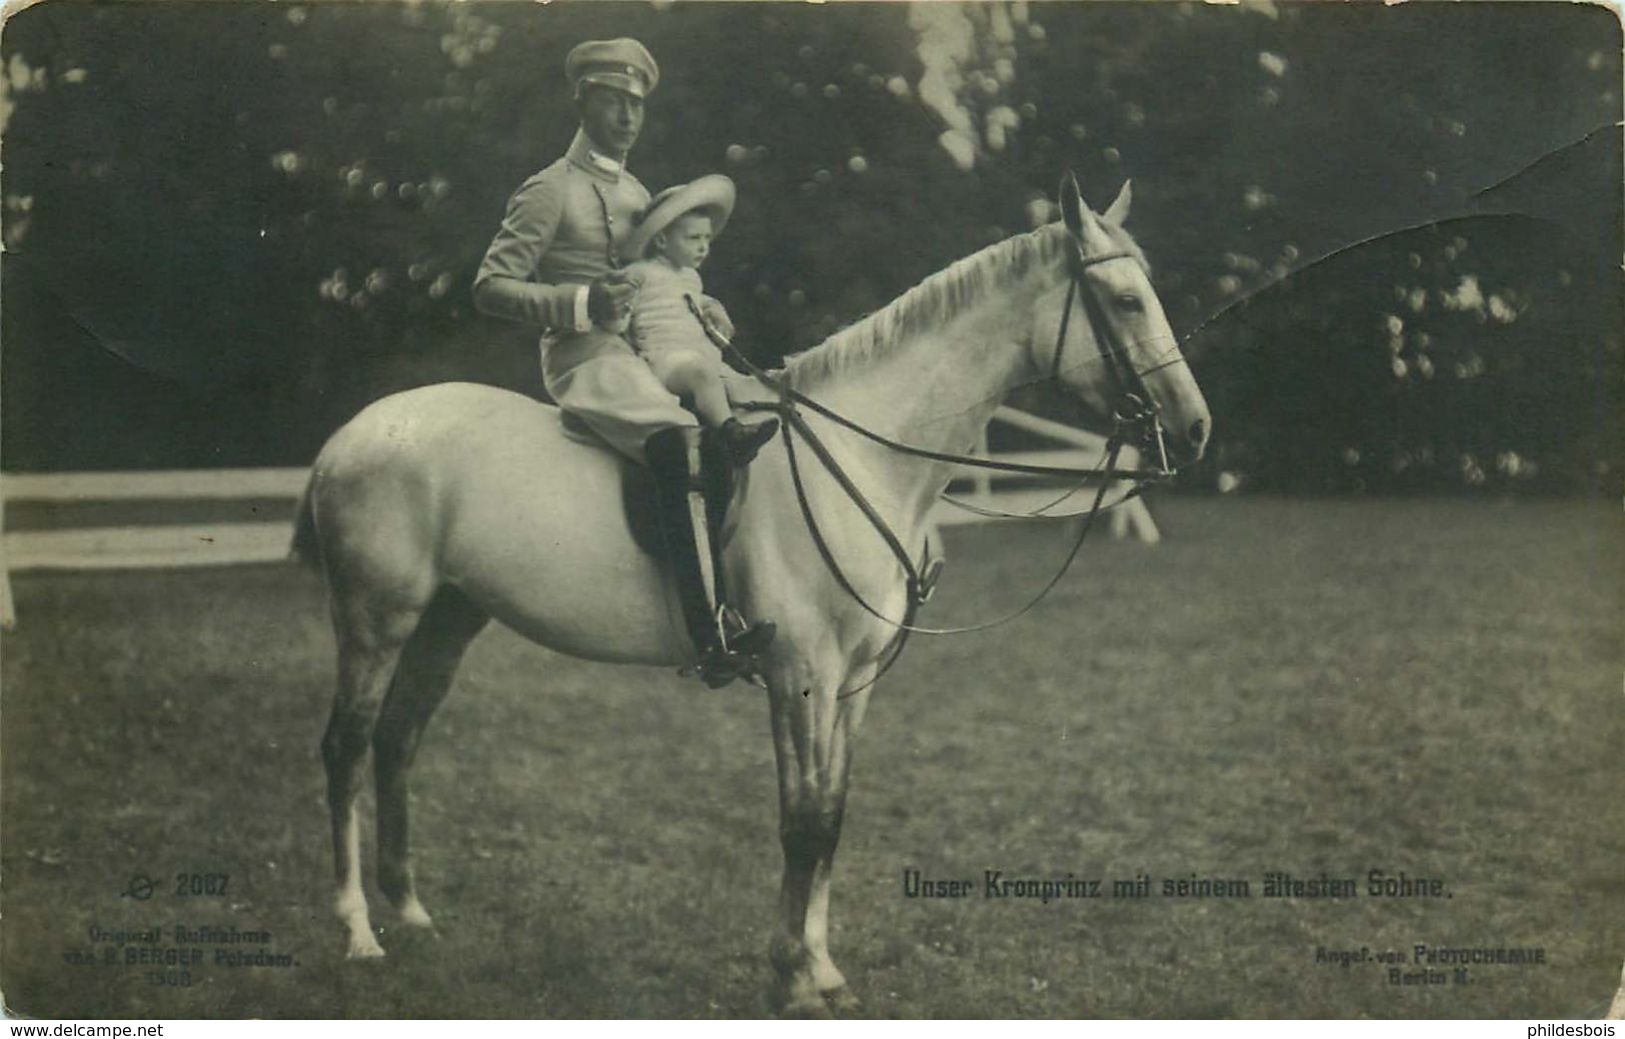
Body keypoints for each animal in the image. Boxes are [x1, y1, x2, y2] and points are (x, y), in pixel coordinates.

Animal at [295, 177, 1209, 1014]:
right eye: (1126, 300)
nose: (1194, 427)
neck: (858, 455)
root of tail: (352, 433)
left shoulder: (853, 684)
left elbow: (831, 815)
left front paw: (821, 966)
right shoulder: (800, 675)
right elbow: (800, 818)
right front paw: (793, 975)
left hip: (450, 619)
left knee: (398, 740)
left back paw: (411, 912)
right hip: (377, 618)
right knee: (347, 746)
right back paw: (357, 930)